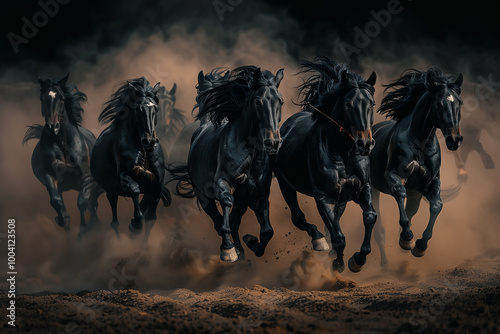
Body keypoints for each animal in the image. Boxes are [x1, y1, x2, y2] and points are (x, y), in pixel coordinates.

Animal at [23, 74, 100, 237]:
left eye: (62, 98)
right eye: (42, 98)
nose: (53, 128)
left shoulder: (86, 178)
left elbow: (82, 202)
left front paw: (83, 231)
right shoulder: (50, 176)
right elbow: (56, 201)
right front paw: (62, 219)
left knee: (92, 205)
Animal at [92, 77, 172, 245]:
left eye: (156, 110)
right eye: (137, 109)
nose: (149, 141)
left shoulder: (157, 185)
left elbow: (150, 218)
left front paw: (143, 245)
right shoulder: (124, 177)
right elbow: (134, 191)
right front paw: (134, 226)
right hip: (111, 191)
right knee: (114, 221)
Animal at [274, 56, 376, 272]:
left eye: (371, 104)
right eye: (348, 104)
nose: (365, 144)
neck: (344, 154)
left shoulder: (362, 188)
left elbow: (370, 216)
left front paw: (358, 259)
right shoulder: (323, 197)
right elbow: (338, 237)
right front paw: (339, 264)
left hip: (342, 198)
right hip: (284, 183)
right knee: (298, 218)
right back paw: (319, 241)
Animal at [370, 67, 462, 264]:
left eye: (460, 102)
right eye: (438, 103)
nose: (454, 139)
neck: (420, 143)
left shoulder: (429, 183)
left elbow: (436, 205)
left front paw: (420, 245)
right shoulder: (393, 176)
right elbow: (399, 195)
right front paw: (407, 239)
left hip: (416, 193)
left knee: (411, 210)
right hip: (373, 188)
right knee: (379, 229)